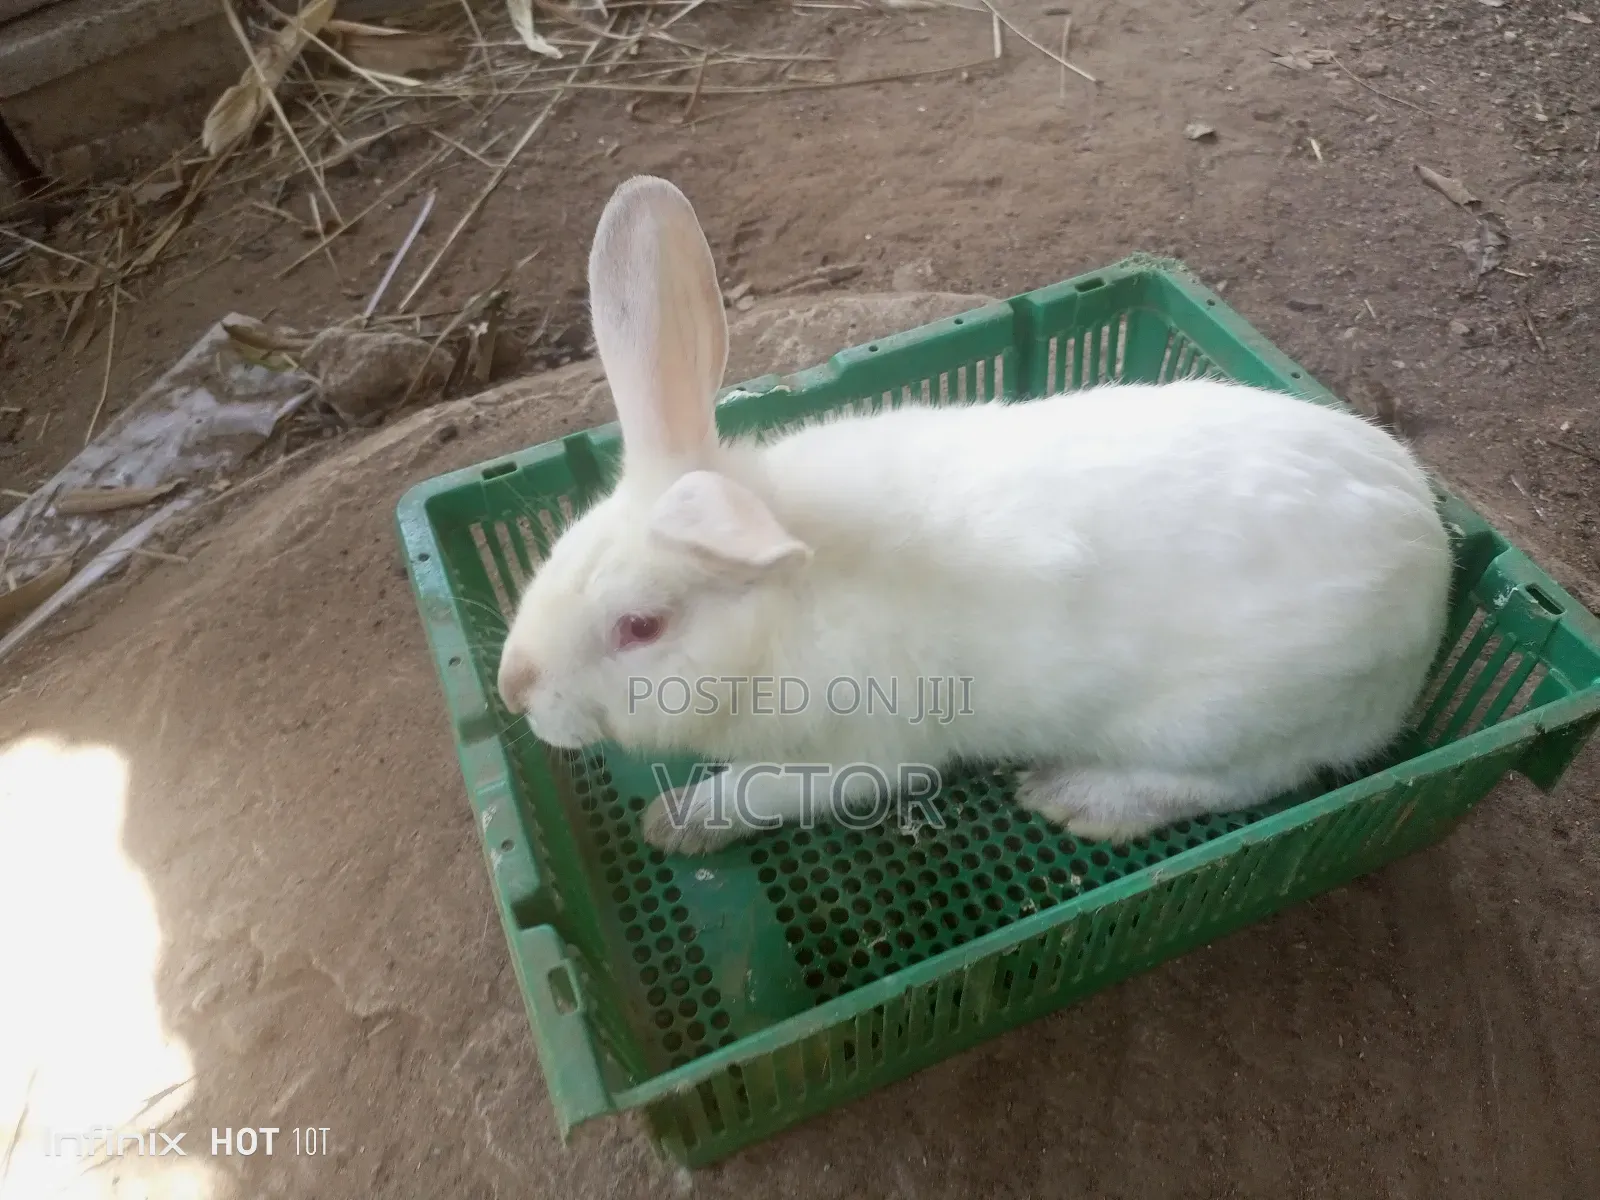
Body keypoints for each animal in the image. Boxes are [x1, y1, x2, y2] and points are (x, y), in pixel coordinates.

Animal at [496, 174, 1453, 857]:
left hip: (1219, 724)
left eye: (640, 627)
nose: (512, 690)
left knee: (1253, 780)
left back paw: (1077, 798)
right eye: (558, 553)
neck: (783, 612)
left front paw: (677, 821)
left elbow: (763, 790)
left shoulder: (856, 755)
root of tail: (1436, 564)